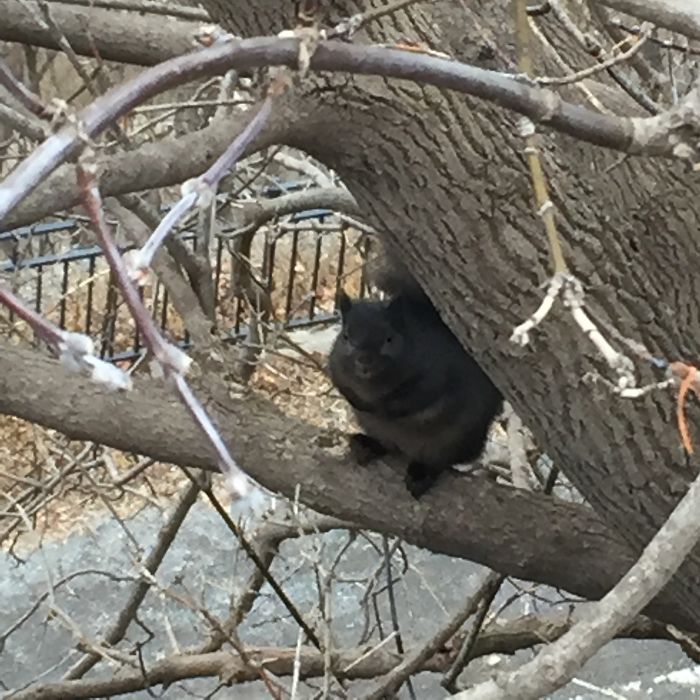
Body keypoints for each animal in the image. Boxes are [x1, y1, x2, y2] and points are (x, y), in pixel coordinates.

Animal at [328, 248, 503, 498]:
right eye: (345, 337)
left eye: (389, 339)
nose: (364, 361)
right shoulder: (335, 365)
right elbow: (341, 384)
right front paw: (358, 402)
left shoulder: (435, 373)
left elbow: (417, 398)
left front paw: (386, 409)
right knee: (386, 446)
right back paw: (367, 445)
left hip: (452, 441)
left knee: (442, 461)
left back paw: (422, 474)